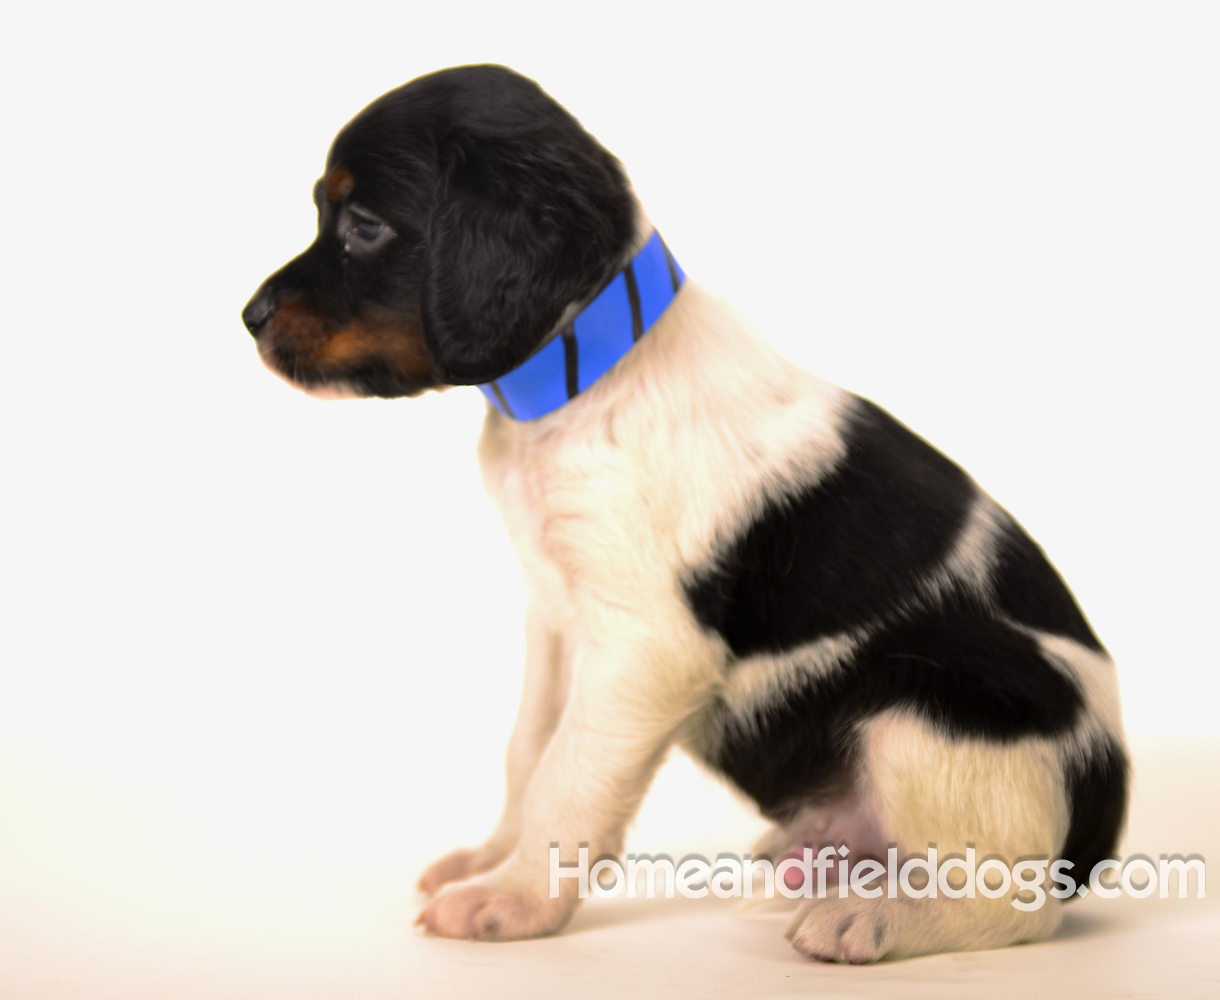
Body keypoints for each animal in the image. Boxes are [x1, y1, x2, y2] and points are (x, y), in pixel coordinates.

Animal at [242, 62, 1127, 960]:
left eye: (364, 225)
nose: (248, 318)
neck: (585, 380)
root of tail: (1102, 815)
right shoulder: (555, 618)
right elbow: (529, 748)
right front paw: (491, 860)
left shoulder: (645, 645)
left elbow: (567, 773)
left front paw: (512, 900)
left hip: (927, 708)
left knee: (1012, 901)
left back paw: (872, 916)